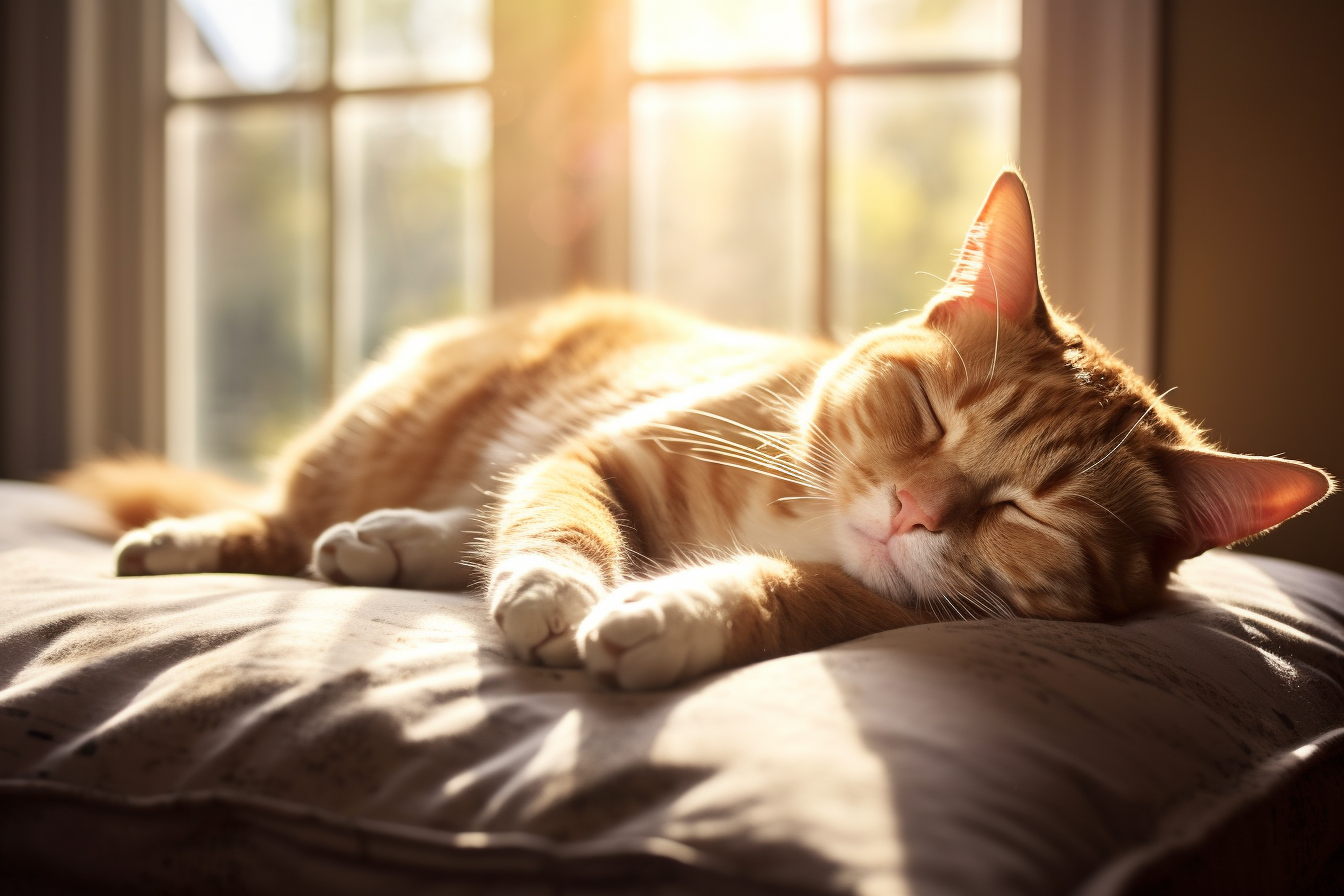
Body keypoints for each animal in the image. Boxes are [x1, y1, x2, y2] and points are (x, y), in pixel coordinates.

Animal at [60, 167, 1333, 693]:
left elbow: (779, 593)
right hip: (363, 438)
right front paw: (555, 589)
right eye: (930, 412)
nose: (912, 510)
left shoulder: (894, 604)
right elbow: (563, 512)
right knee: (294, 516)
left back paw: (389, 542)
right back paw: (204, 538)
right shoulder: (604, 452)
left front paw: (664, 614)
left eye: (1033, 511)